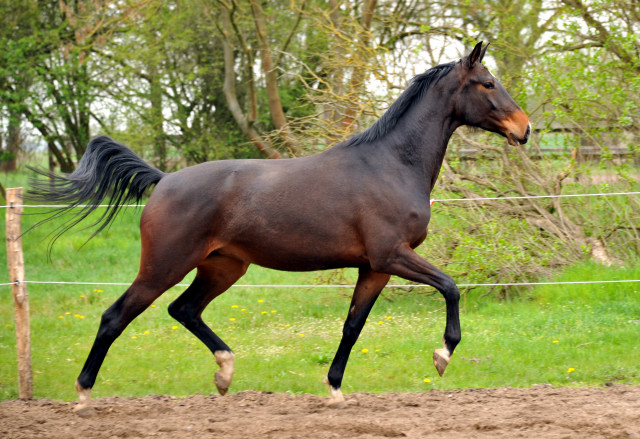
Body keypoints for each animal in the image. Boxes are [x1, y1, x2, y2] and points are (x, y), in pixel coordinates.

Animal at [28, 43, 528, 410]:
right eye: (487, 83)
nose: (524, 129)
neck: (391, 165)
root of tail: (164, 179)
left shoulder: (374, 267)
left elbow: (352, 326)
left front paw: (335, 390)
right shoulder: (393, 255)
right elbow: (450, 287)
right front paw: (442, 355)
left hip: (223, 267)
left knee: (184, 309)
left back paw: (225, 372)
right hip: (163, 266)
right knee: (115, 317)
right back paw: (83, 395)